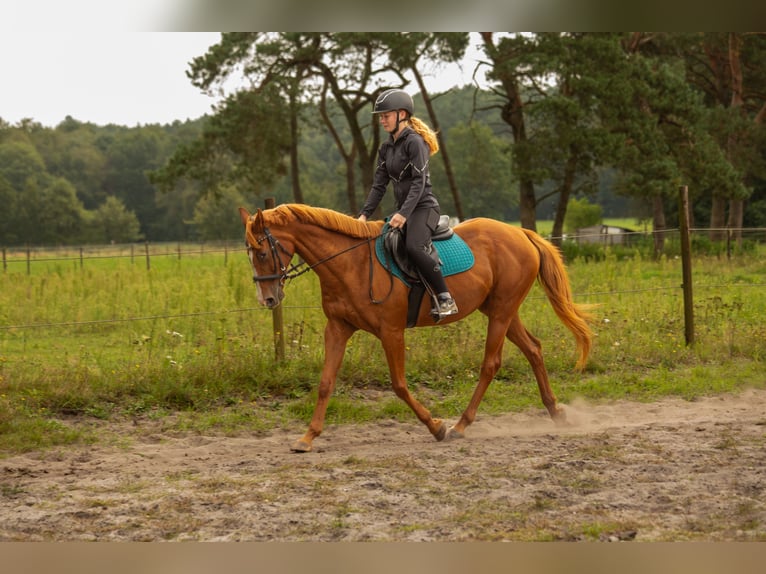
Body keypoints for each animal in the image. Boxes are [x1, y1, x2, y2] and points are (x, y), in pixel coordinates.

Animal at [240, 205, 592, 452]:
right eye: (250, 255)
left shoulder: (391, 331)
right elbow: (326, 383)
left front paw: (436, 427)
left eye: (262, 252)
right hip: (500, 310)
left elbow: (398, 385)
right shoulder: (338, 329)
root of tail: (522, 234)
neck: (351, 264)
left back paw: (460, 426)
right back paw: (555, 412)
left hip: (502, 312)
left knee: (491, 364)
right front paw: (308, 437)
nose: (267, 299)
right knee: (533, 348)